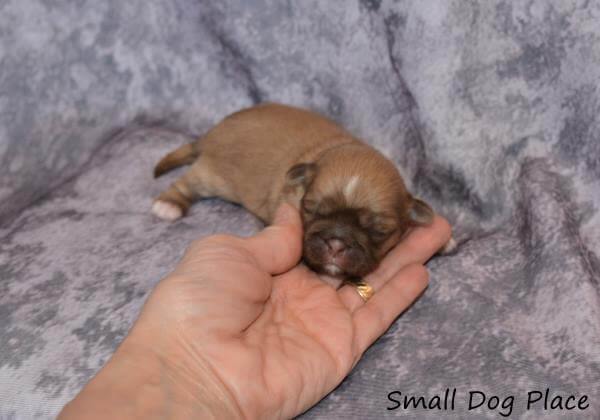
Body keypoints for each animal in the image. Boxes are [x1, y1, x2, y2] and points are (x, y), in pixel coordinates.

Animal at [152, 103, 452, 282]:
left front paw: (443, 240)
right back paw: (168, 204)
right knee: (186, 183)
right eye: (310, 209)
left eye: (379, 231)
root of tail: (209, 135)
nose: (337, 244)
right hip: (210, 176)